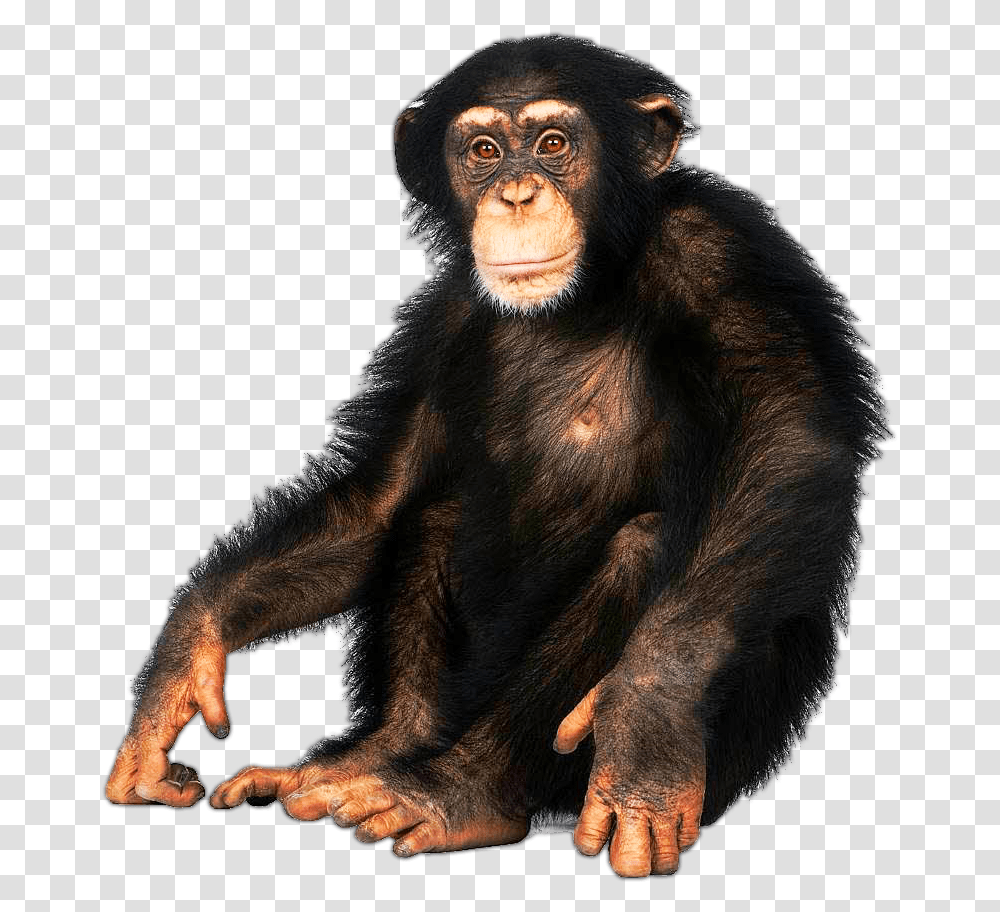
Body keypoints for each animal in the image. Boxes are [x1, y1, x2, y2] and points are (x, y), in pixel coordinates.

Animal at [106, 35, 885, 878]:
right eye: (481, 150)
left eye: (553, 144)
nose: (515, 193)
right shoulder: (444, 317)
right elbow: (380, 500)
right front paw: (185, 655)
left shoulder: (720, 253)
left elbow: (787, 434)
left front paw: (645, 718)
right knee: (431, 516)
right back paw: (373, 758)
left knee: (644, 548)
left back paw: (458, 793)